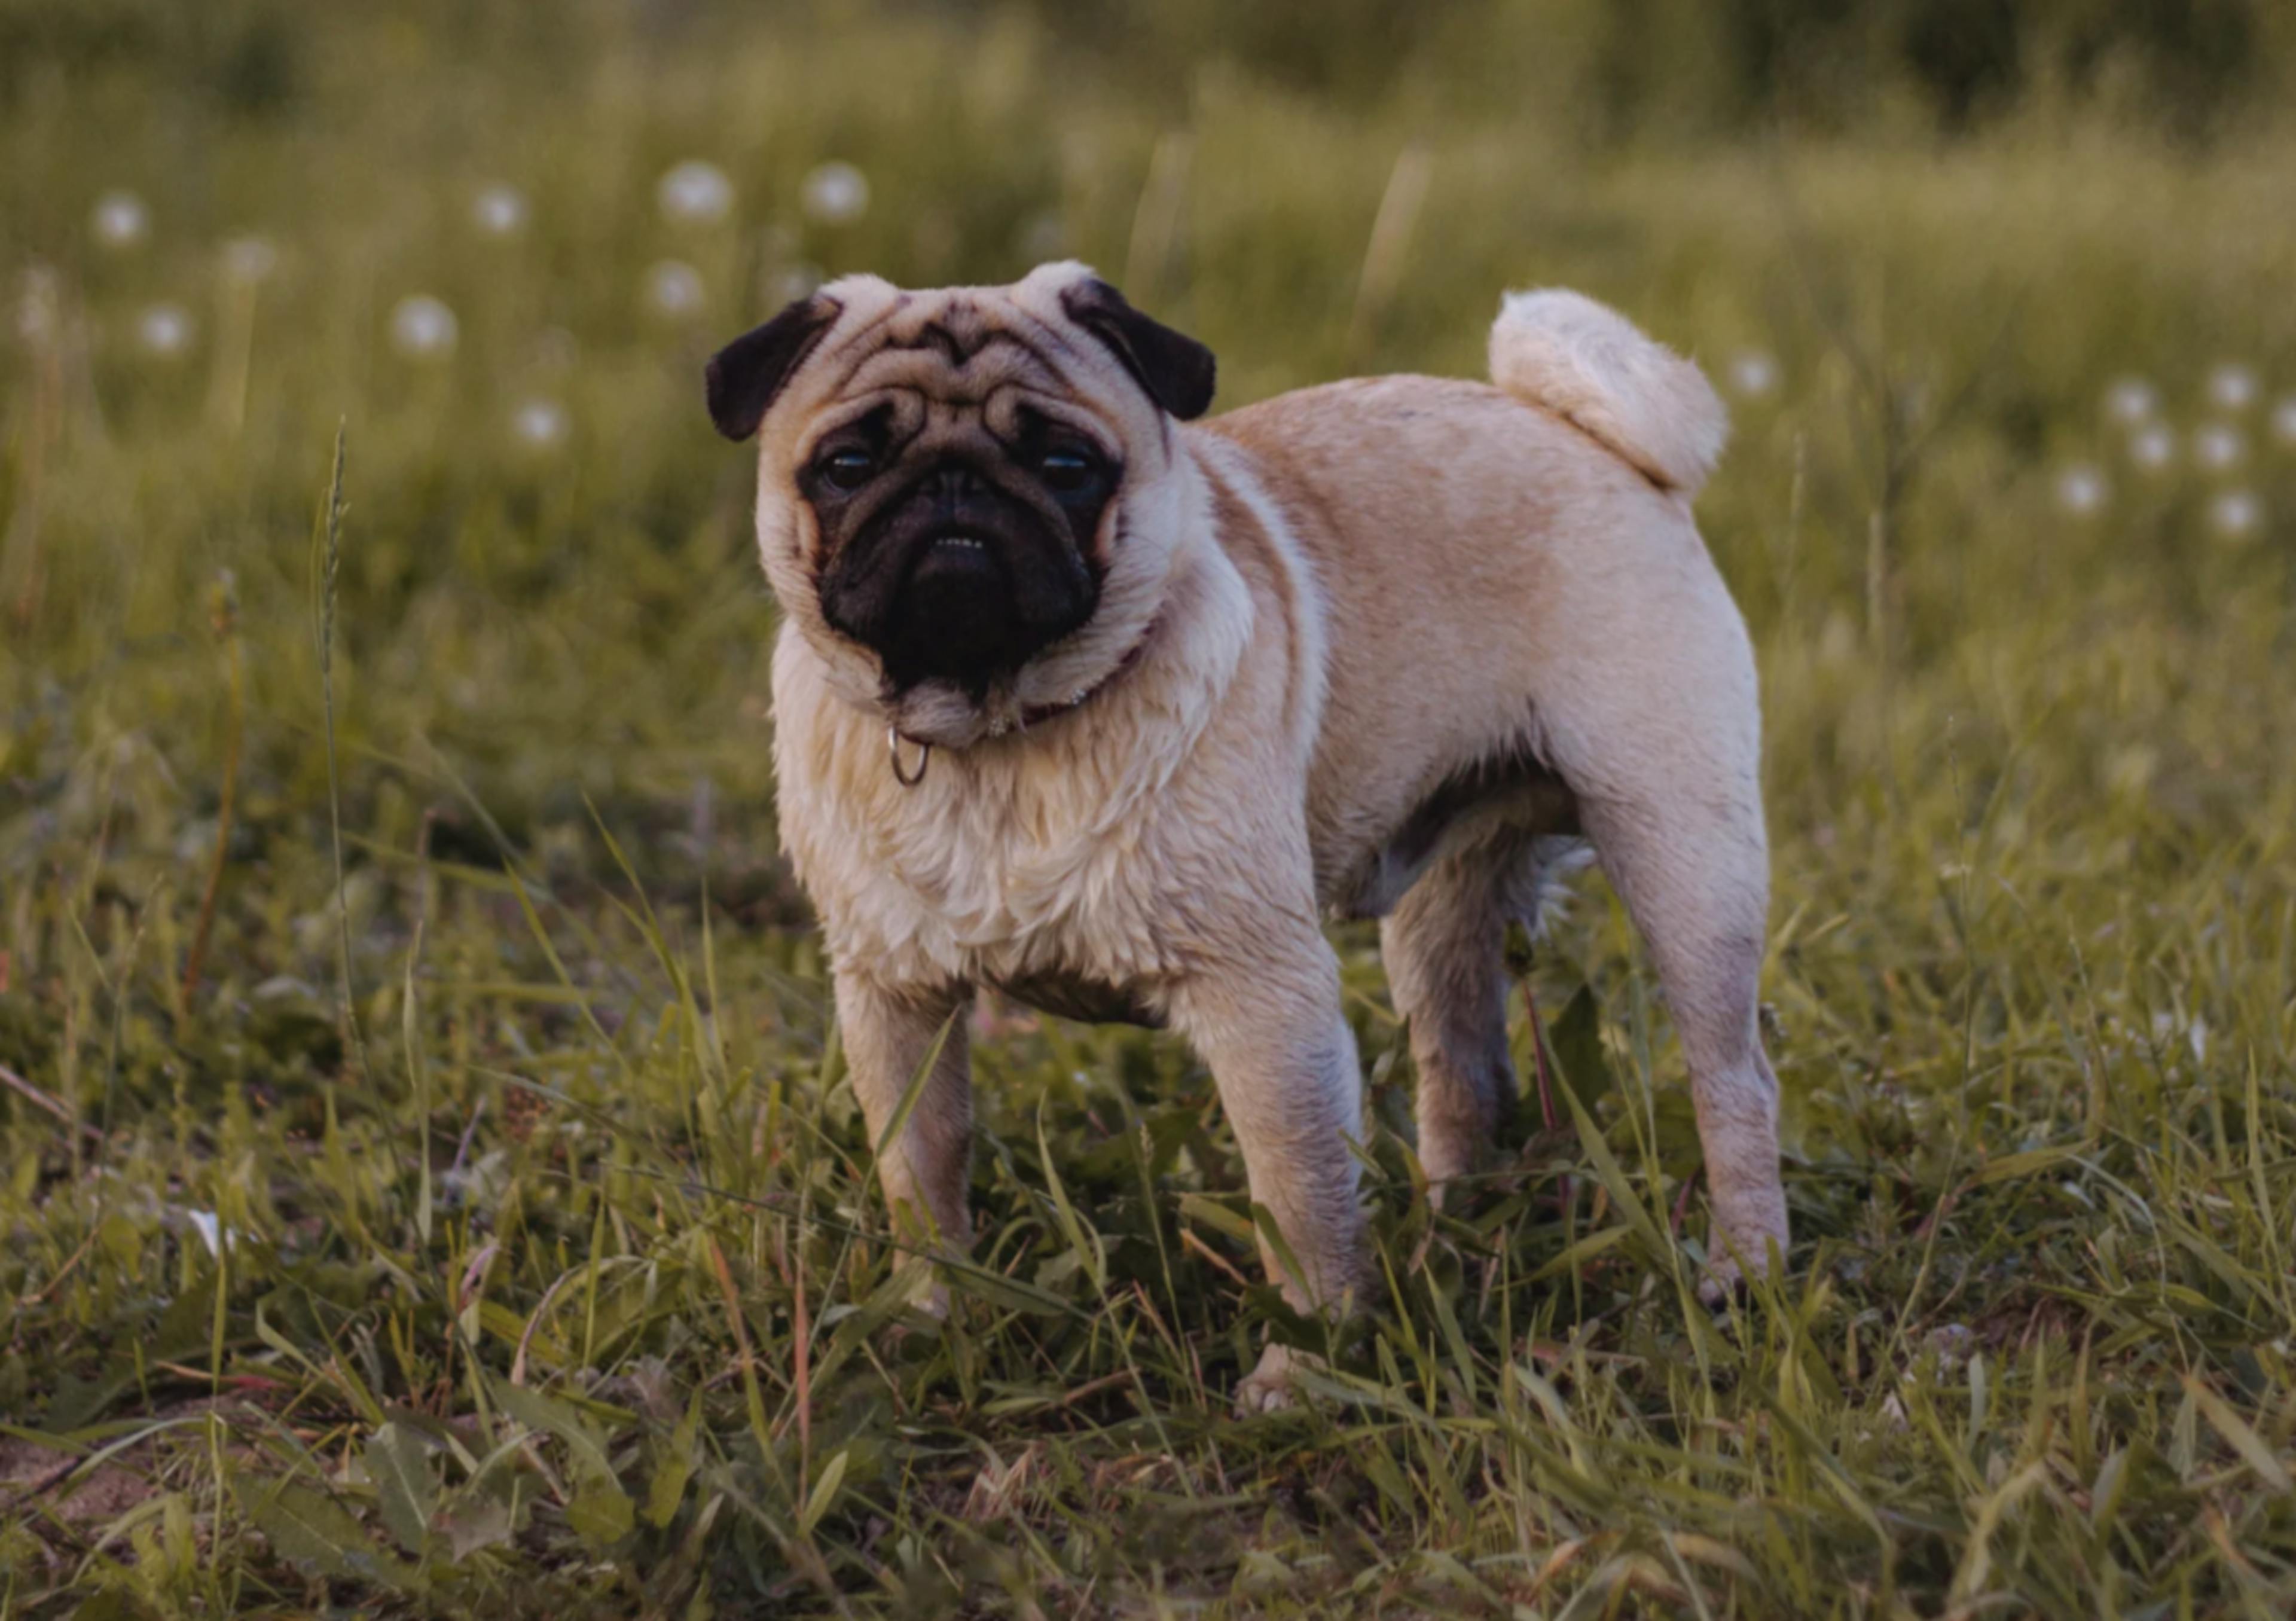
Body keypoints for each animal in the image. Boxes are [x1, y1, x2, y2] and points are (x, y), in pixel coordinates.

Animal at [707, 261, 1781, 1405]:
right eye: (849, 465)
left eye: (1066, 465)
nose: (955, 493)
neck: (998, 737)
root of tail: (1577, 432)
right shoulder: (894, 998)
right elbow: (922, 1167)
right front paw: (929, 1317)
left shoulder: (1266, 1002)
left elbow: (1297, 1194)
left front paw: (1303, 1369)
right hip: (1442, 911)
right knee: (1464, 1073)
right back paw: (1448, 1238)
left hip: (1683, 856)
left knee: (1733, 1079)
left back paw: (1742, 1271)